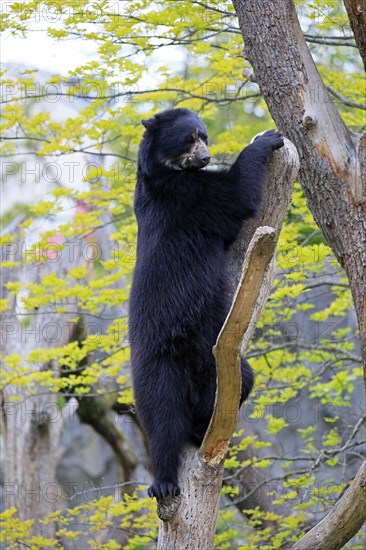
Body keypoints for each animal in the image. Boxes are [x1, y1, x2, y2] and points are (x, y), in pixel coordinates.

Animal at [129, 109, 286, 504]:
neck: (169, 170)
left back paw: (202, 429)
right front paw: (268, 139)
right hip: (156, 365)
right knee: (163, 419)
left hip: (217, 364)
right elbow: (234, 194)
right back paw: (164, 481)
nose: (205, 156)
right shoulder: (189, 196)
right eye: (189, 139)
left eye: (204, 136)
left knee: (239, 382)